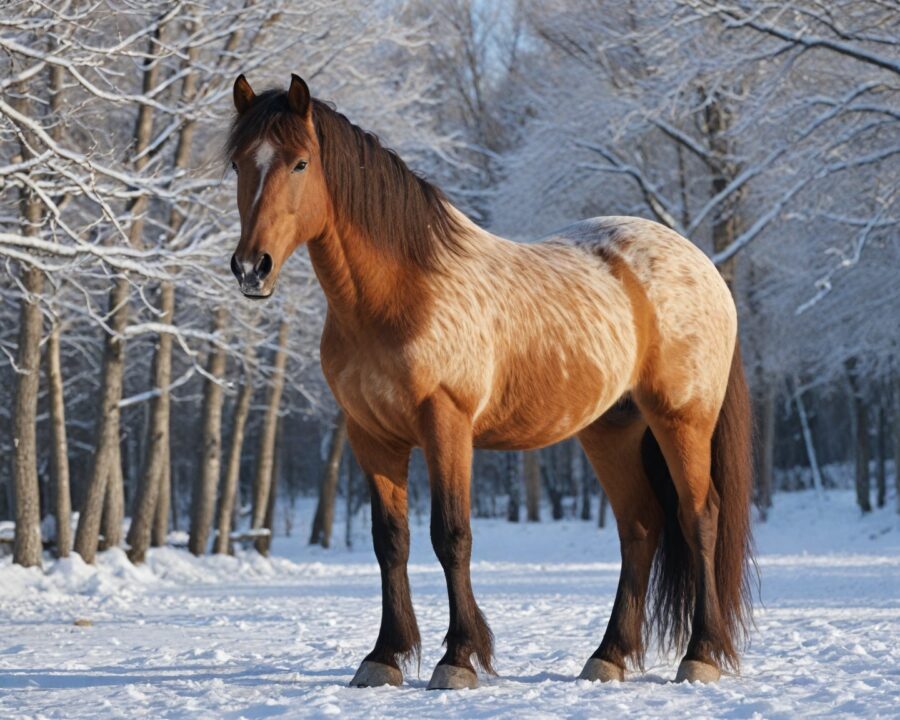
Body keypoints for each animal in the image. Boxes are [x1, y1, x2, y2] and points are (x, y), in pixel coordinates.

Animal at [226, 73, 754, 690]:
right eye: (238, 163)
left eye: (301, 163)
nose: (251, 269)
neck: (400, 293)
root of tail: (704, 267)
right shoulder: (370, 435)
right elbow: (391, 541)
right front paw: (384, 656)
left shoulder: (446, 424)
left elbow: (451, 535)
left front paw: (458, 659)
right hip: (611, 432)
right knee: (640, 526)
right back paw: (608, 656)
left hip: (681, 420)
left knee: (700, 519)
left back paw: (701, 654)